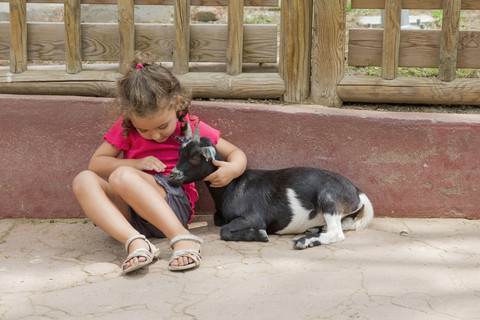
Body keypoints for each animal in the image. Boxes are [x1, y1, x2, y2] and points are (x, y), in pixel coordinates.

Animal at [169, 124, 376, 249]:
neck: (232, 187)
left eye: (195, 157)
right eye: (179, 153)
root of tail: (358, 192)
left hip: (329, 199)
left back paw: (304, 241)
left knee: (337, 233)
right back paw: (314, 230)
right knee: (346, 224)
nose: (172, 175)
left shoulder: (253, 217)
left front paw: (260, 234)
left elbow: (224, 231)